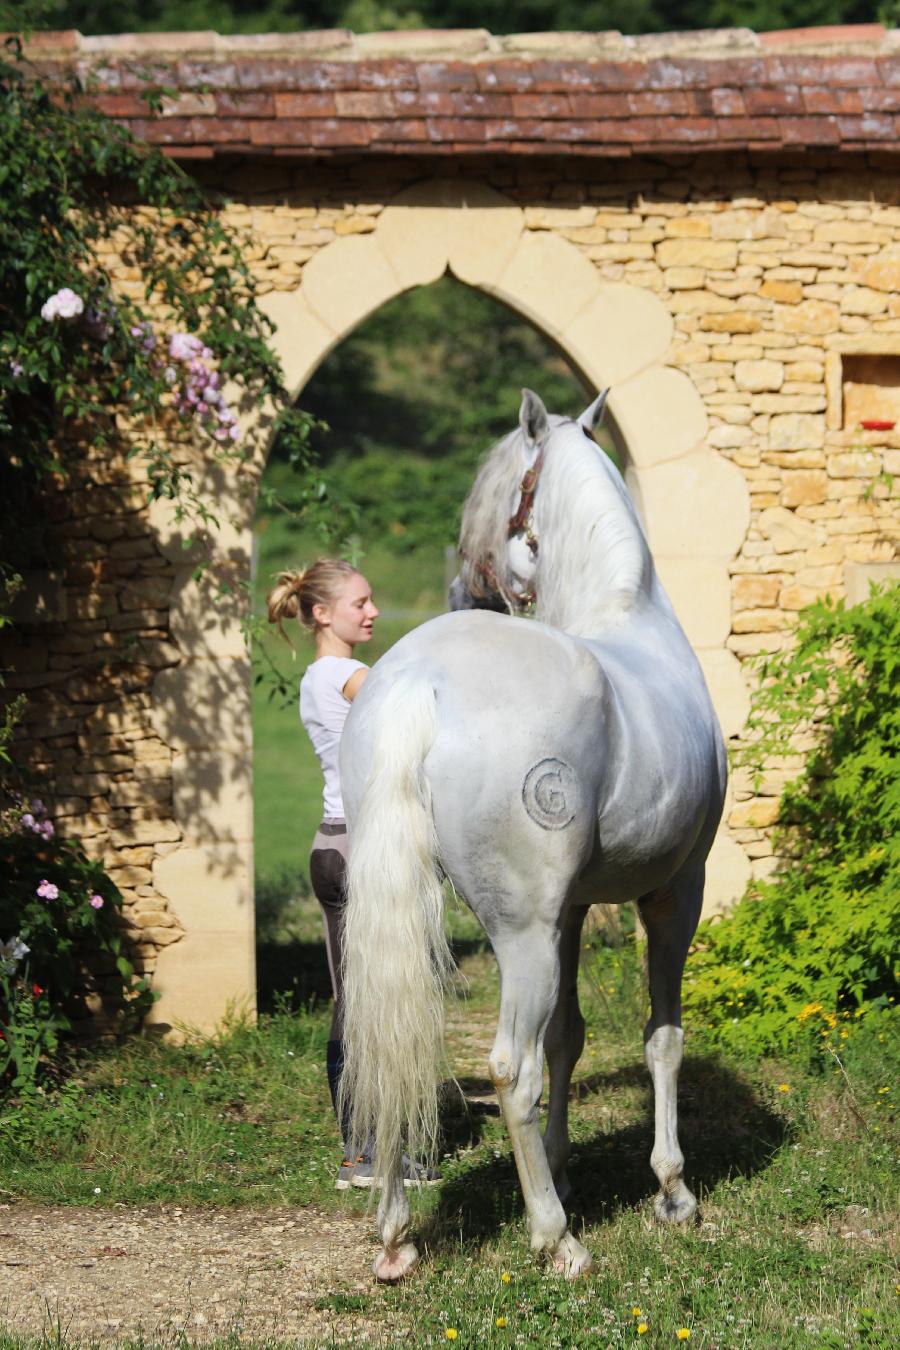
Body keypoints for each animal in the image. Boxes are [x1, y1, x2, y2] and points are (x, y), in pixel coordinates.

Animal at [337, 388, 723, 1274]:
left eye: (487, 494)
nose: (460, 584)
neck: (630, 614)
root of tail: (423, 681)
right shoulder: (674, 893)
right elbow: (661, 1038)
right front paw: (672, 1191)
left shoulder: (573, 911)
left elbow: (569, 1040)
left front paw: (567, 1166)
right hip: (521, 934)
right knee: (510, 1069)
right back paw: (557, 1240)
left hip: (435, 918)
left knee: (389, 1049)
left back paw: (397, 1238)